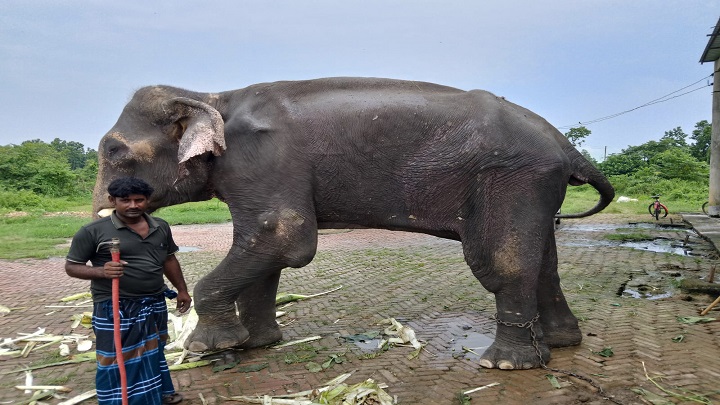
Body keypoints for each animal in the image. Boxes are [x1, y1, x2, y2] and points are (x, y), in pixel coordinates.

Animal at [91, 76, 612, 370]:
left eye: (114, 150)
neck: (210, 96)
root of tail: (566, 145)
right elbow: (267, 246)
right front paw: (257, 345)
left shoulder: (263, 159)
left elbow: (285, 236)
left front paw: (206, 348)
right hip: (536, 186)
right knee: (544, 262)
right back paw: (560, 344)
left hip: (511, 178)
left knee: (503, 263)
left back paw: (506, 366)